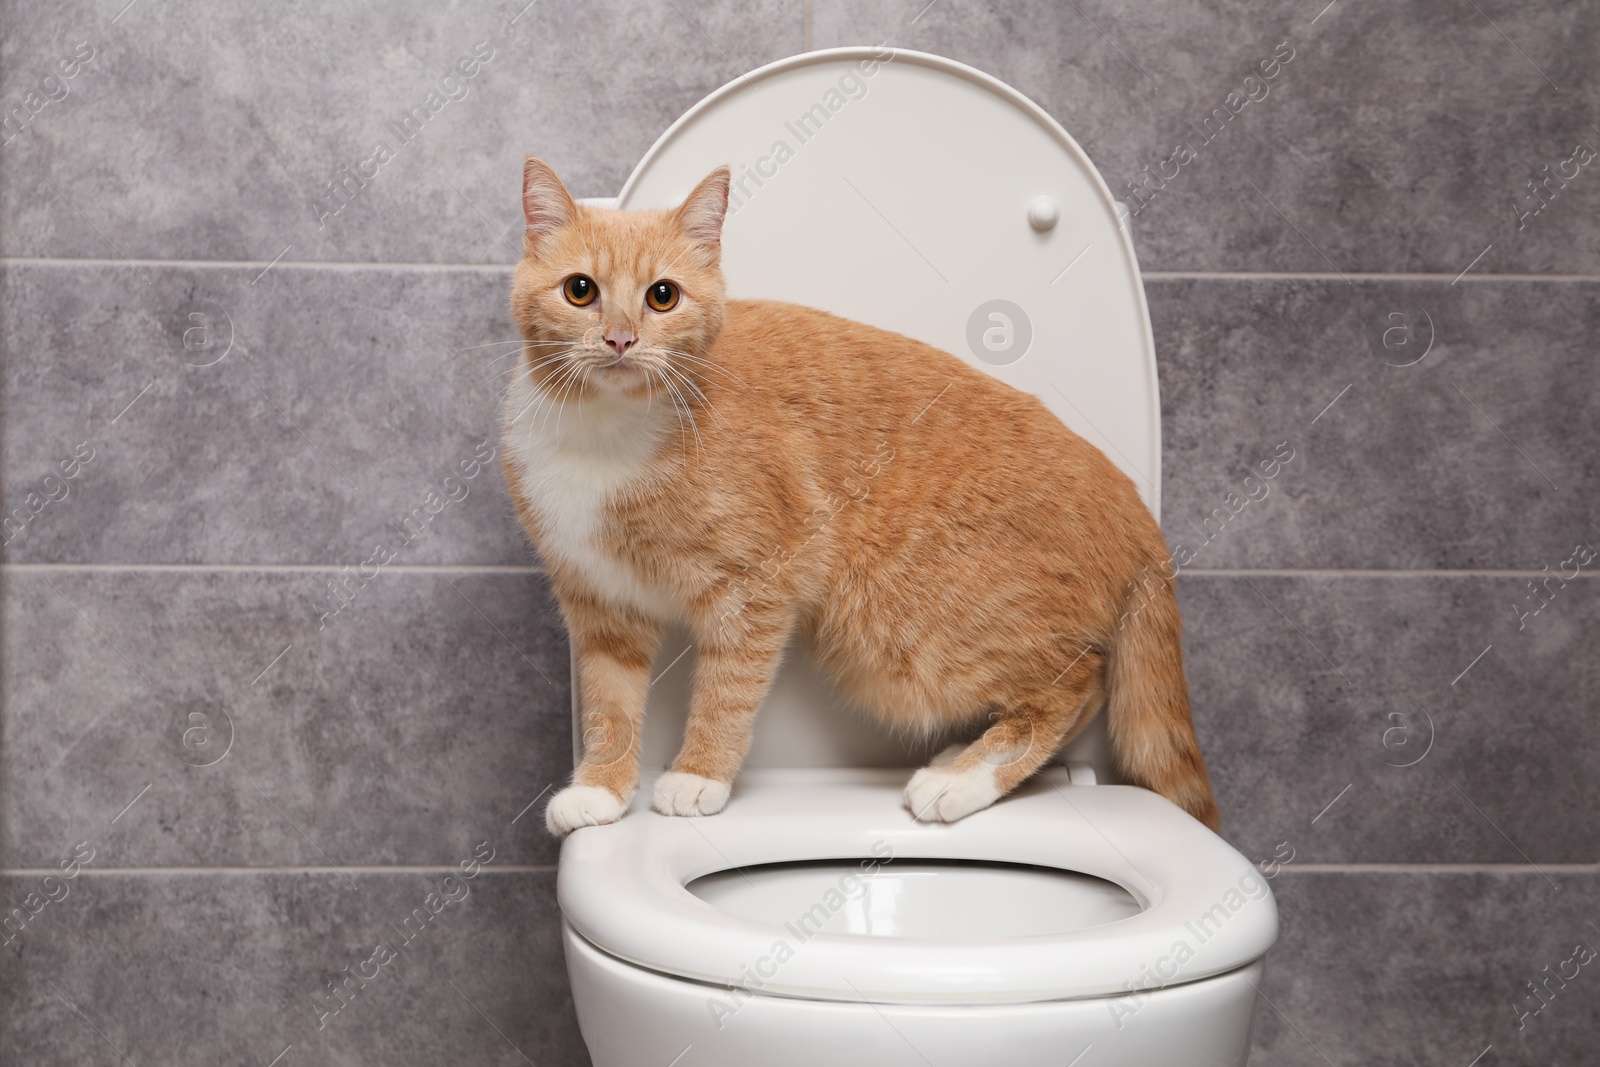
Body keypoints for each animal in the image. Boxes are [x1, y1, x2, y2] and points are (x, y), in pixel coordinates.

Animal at [505, 156, 1216, 831]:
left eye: (662, 296)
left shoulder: (756, 586)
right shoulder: (600, 603)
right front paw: (601, 789)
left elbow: (728, 689)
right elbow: (610, 705)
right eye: (580, 291)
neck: (606, 433)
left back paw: (961, 781)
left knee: (1078, 685)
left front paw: (699, 776)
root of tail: (1130, 504)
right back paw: (958, 758)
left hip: (906, 636)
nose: (620, 339)